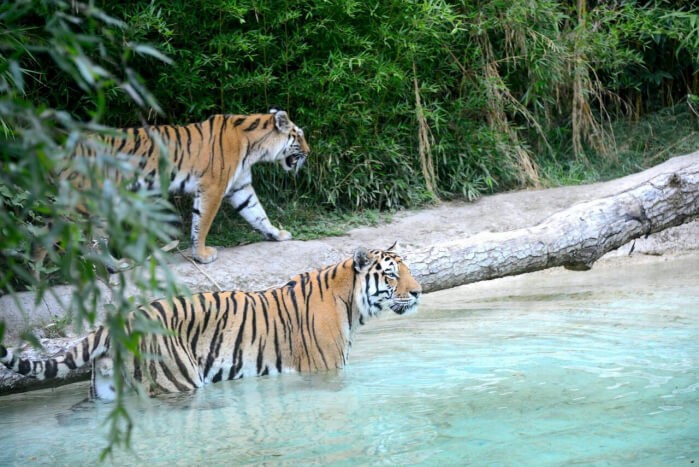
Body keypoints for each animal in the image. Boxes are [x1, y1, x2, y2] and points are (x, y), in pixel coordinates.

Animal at [1, 244, 421, 400]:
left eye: (408, 270)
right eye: (391, 275)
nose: (417, 292)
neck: (351, 302)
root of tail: (119, 320)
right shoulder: (324, 371)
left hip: (106, 392)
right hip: (177, 382)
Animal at [63, 108, 309, 265]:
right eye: (299, 136)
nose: (309, 152)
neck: (256, 147)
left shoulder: (240, 187)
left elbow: (257, 213)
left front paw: (277, 234)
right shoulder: (213, 188)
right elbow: (202, 223)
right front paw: (202, 255)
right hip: (93, 204)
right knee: (89, 243)